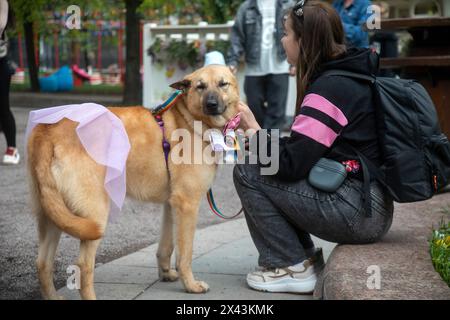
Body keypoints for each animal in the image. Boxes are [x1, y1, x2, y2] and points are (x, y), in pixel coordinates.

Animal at [26, 65, 241, 300]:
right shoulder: (187, 204)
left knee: (42, 263)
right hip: (94, 215)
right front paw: (190, 285)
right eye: (200, 86)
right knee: (83, 265)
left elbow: (166, 246)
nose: (211, 105)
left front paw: (166, 273)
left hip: (52, 214)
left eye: (223, 84)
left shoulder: (171, 205)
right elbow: (185, 253)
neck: (190, 120)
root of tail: (47, 131)